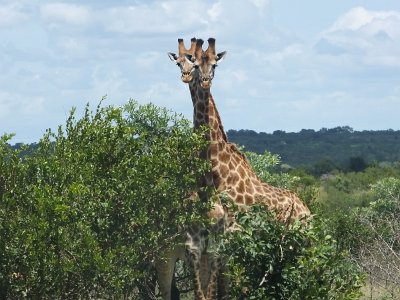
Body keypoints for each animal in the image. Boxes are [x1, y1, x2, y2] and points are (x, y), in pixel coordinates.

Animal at [167, 38, 310, 300]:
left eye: (214, 64)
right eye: (183, 62)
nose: (198, 79)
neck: (218, 173)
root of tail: (307, 210)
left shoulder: (228, 241)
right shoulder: (204, 246)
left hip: (298, 242)